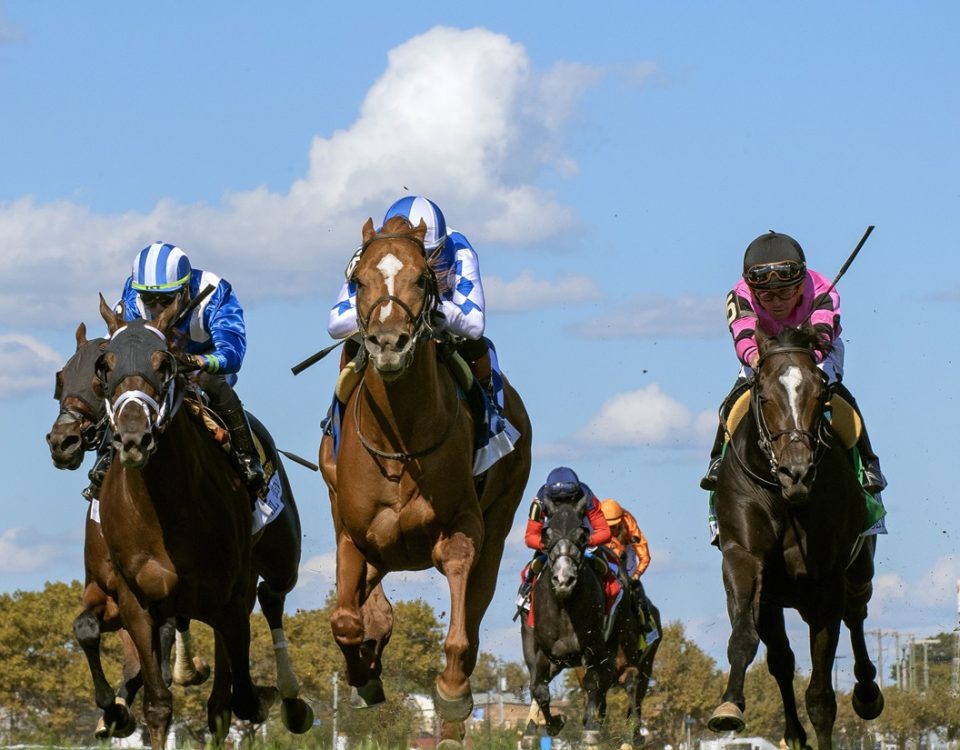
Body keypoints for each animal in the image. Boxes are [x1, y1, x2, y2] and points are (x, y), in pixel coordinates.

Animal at [46, 324, 209, 740]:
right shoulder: (103, 594)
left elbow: (150, 656)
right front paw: (113, 710)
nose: (62, 442)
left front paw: (120, 708)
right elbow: (86, 628)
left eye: (96, 380)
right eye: (61, 379)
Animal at [95, 296, 310, 748]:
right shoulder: (136, 603)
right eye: (105, 364)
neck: (164, 509)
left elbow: (237, 699)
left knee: (272, 596)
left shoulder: (228, 598)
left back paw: (293, 702)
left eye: (164, 363)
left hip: (281, 557)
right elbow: (159, 704)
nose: (133, 438)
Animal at [320, 214, 532, 748]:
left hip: (498, 529)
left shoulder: (462, 526)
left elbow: (459, 631)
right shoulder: (352, 532)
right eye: (358, 281)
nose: (388, 343)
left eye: (421, 279)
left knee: (473, 611)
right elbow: (345, 619)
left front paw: (452, 694)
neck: (400, 441)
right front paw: (364, 675)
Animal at [708, 328, 880, 750]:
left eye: (820, 395)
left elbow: (821, 696)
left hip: (859, 566)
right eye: (765, 397)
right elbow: (745, 638)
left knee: (856, 613)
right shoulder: (743, 558)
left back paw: (868, 692)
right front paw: (729, 706)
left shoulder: (826, 583)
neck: (784, 499)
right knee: (782, 661)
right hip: (774, 598)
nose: (797, 471)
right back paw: (793, 734)